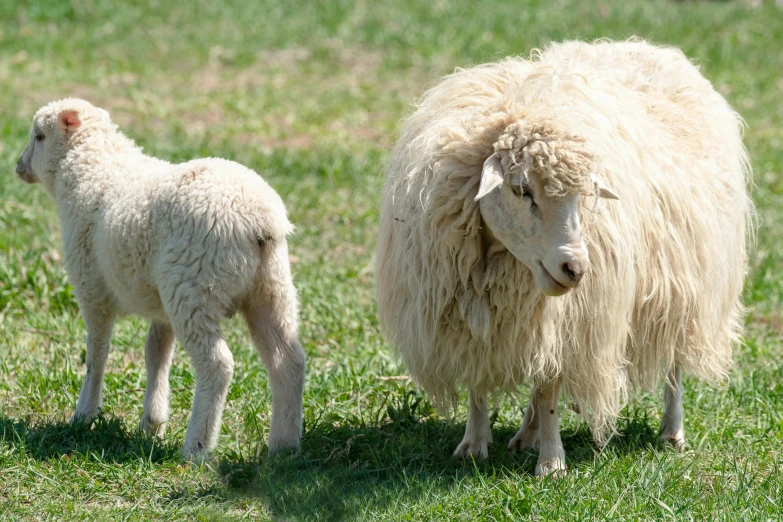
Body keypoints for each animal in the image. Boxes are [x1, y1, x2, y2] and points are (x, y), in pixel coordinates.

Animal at [13, 96, 306, 456]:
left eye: (38, 136)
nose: (19, 166)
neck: (93, 169)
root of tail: (259, 219)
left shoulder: (91, 285)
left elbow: (97, 351)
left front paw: (84, 415)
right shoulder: (159, 302)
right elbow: (157, 353)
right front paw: (152, 423)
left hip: (194, 285)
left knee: (217, 365)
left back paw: (197, 448)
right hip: (269, 288)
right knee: (288, 361)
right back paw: (283, 446)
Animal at [376, 38, 756, 474]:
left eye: (585, 196)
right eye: (521, 189)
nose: (575, 268)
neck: (496, 260)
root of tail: (655, 49)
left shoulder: (568, 317)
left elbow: (548, 392)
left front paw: (552, 462)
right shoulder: (471, 315)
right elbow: (479, 383)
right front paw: (474, 443)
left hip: (685, 281)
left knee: (674, 364)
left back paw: (671, 432)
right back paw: (525, 434)